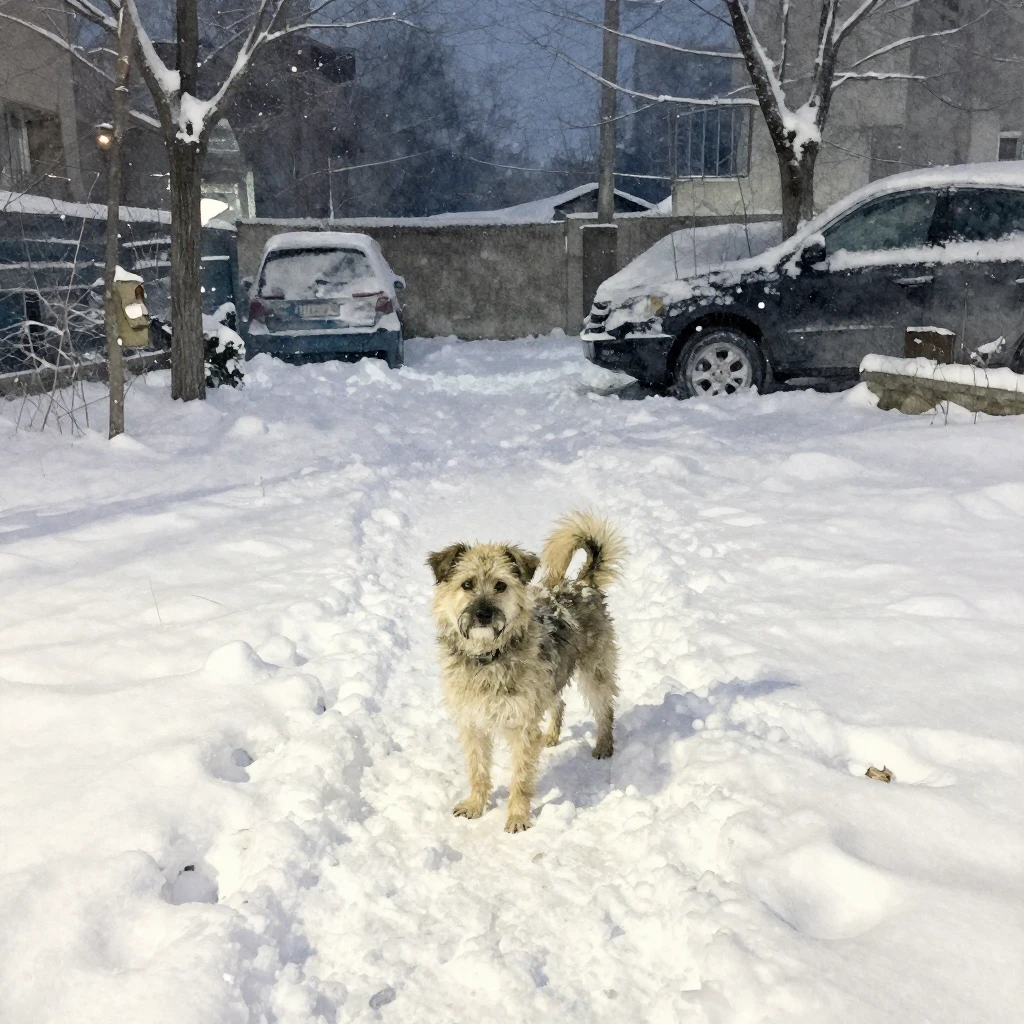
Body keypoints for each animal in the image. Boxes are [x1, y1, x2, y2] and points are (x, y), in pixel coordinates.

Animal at [426, 511, 624, 833]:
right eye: (467, 584)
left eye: (500, 585)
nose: (483, 613)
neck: (489, 657)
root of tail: (582, 584)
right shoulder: (472, 723)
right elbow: (477, 769)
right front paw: (475, 805)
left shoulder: (522, 725)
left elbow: (520, 778)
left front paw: (517, 817)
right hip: (550, 677)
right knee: (559, 702)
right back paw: (552, 736)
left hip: (595, 670)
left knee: (604, 709)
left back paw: (604, 745)